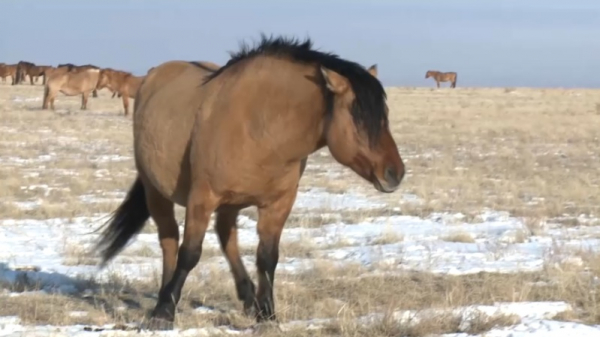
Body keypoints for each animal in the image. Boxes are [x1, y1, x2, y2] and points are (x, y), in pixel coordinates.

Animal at [92, 34, 404, 328]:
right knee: (170, 241)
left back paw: (247, 297)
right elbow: (189, 253)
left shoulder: (278, 204)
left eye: (386, 116)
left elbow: (267, 257)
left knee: (225, 237)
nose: (396, 173)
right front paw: (166, 310)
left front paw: (267, 313)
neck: (261, 126)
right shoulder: (202, 198)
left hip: (229, 204)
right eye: (358, 116)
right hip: (156, 192)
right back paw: (163, 300)